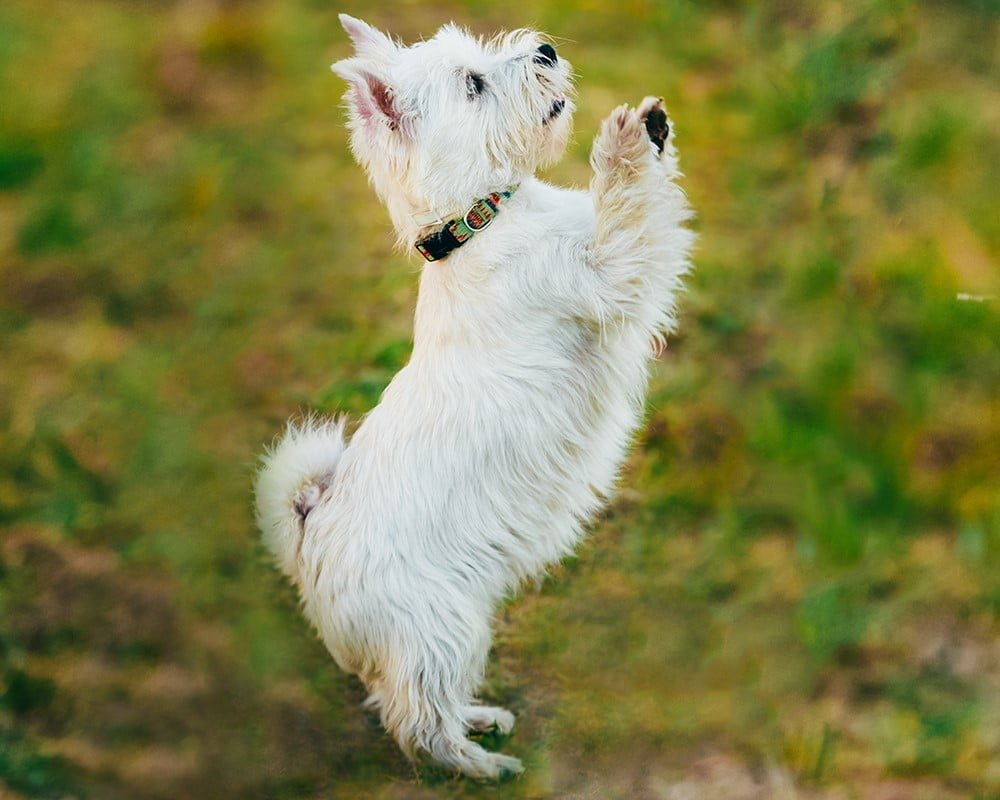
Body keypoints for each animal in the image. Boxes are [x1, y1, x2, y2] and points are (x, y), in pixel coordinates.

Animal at [258, 15, 696, 780]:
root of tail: (307, 536)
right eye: (473, 83)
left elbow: (652, 203)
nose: (546, 48)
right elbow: (625, 209)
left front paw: (654, 127)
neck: (481, 222)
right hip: (443, 628)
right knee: (415, 722)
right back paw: (485, 766)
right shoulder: (608, 275)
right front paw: (622, 140)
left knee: (413, 702)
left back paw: (484, 721)